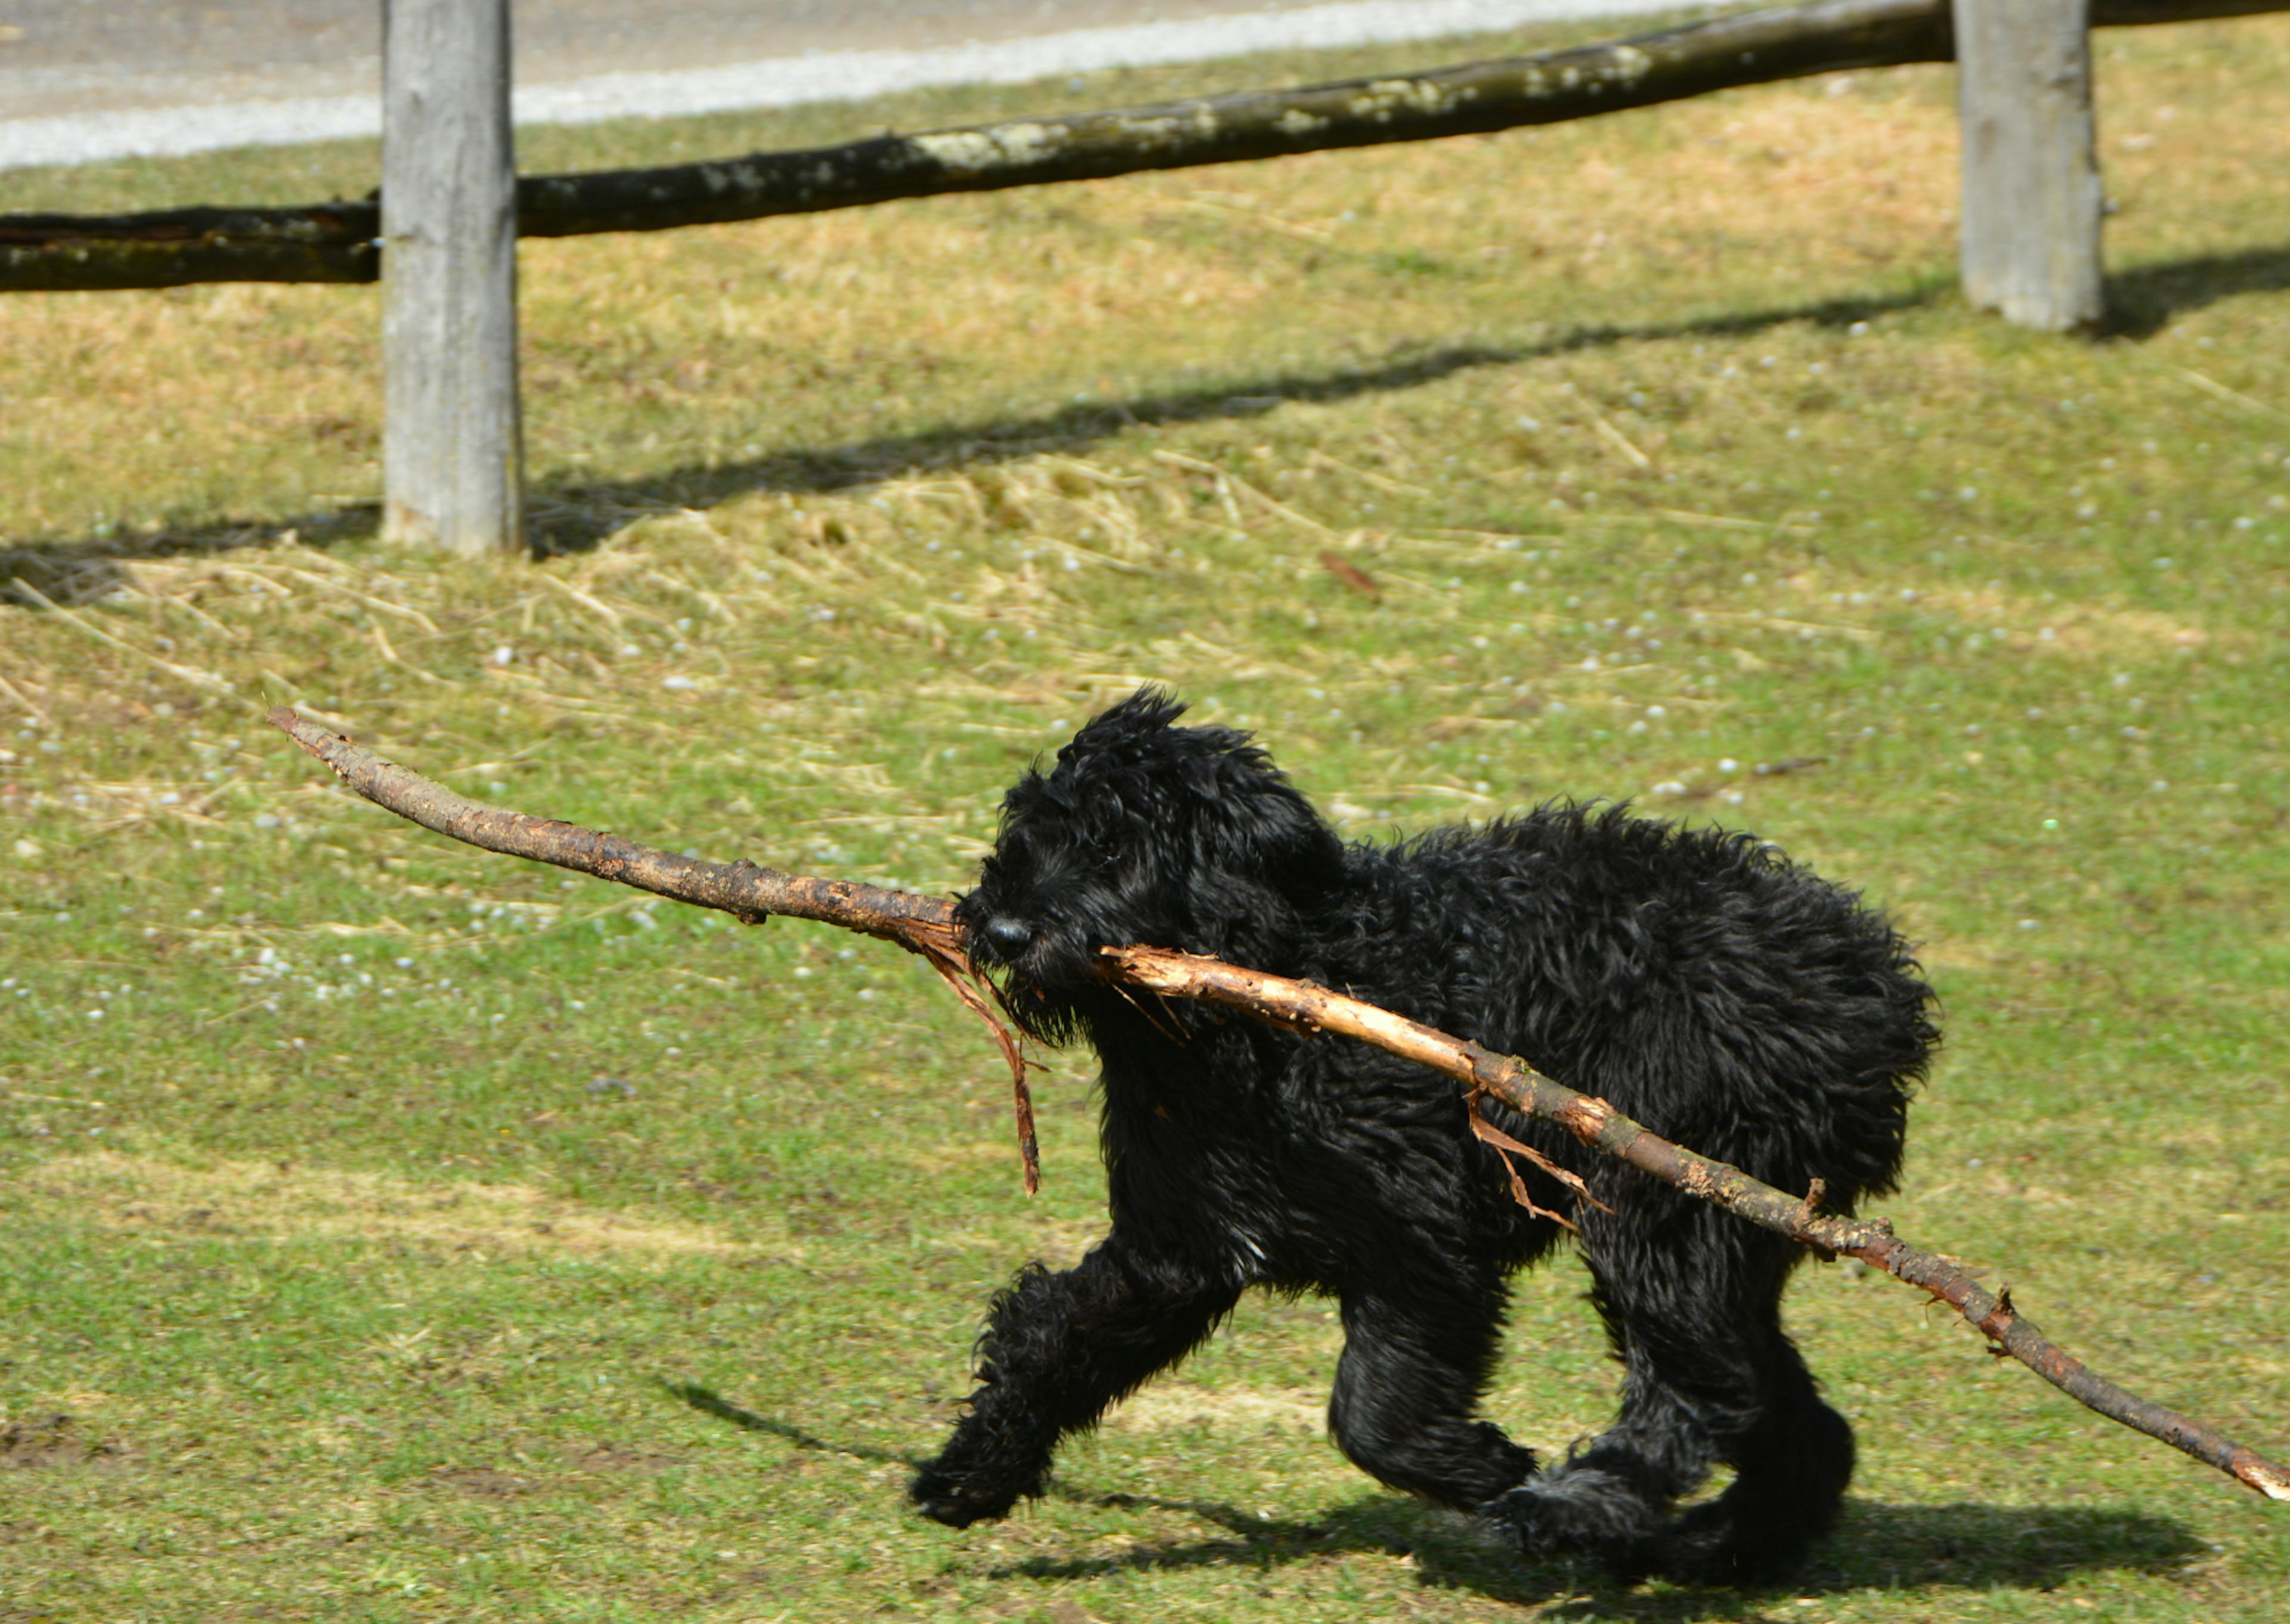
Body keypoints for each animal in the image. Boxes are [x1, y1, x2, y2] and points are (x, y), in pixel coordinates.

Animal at [911, 692, 1932, 1576]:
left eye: (1114, 847)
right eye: (1025, 837)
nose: (1004, 929)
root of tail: (1876, 980)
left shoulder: (1422, 1238)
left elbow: (1374, 1411)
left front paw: (1486, 1469)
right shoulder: (1181, 1239)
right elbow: (1054, 1331)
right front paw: (972, 1469)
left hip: (1667, 1196)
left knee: (1701, 1385)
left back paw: (1573, 1509)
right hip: (1733, 1228)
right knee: (1783, 1408)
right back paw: (1720, 1550)